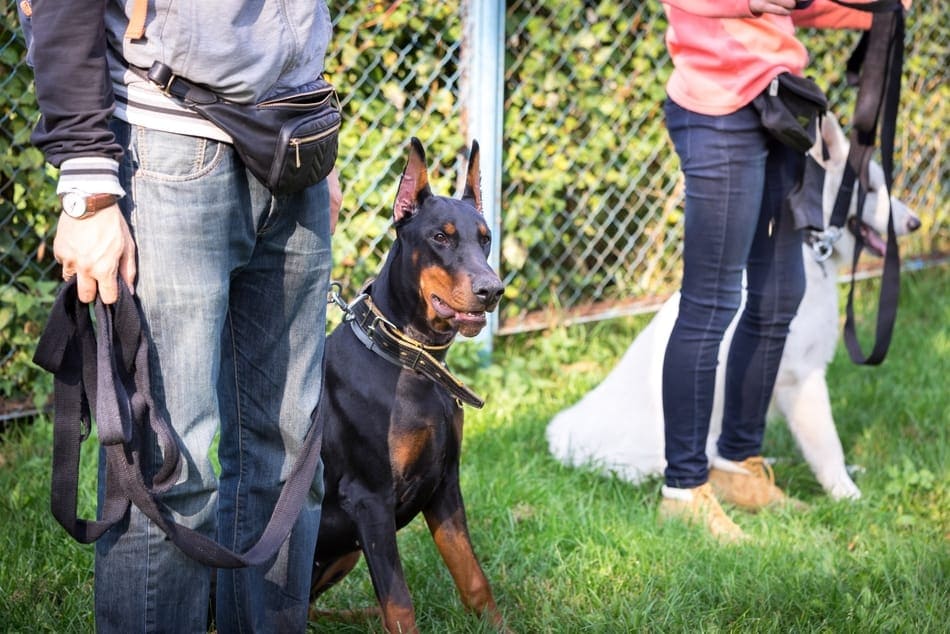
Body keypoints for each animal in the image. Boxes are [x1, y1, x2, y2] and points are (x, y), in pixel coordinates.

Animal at [310, 138, 506, 632]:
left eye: (485, 238)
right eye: (440, 237)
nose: (492, 290)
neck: (411, 362)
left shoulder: (445, 485)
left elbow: (474, 579)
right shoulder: (370, 500)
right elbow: (399, 602)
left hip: (344, 554)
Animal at [552, 113, 924, 498]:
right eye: (872, 189)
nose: (915, 223)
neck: (811, 249)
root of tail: (566, 439)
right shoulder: (801, 379)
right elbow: (827, 446)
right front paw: (847, 494)